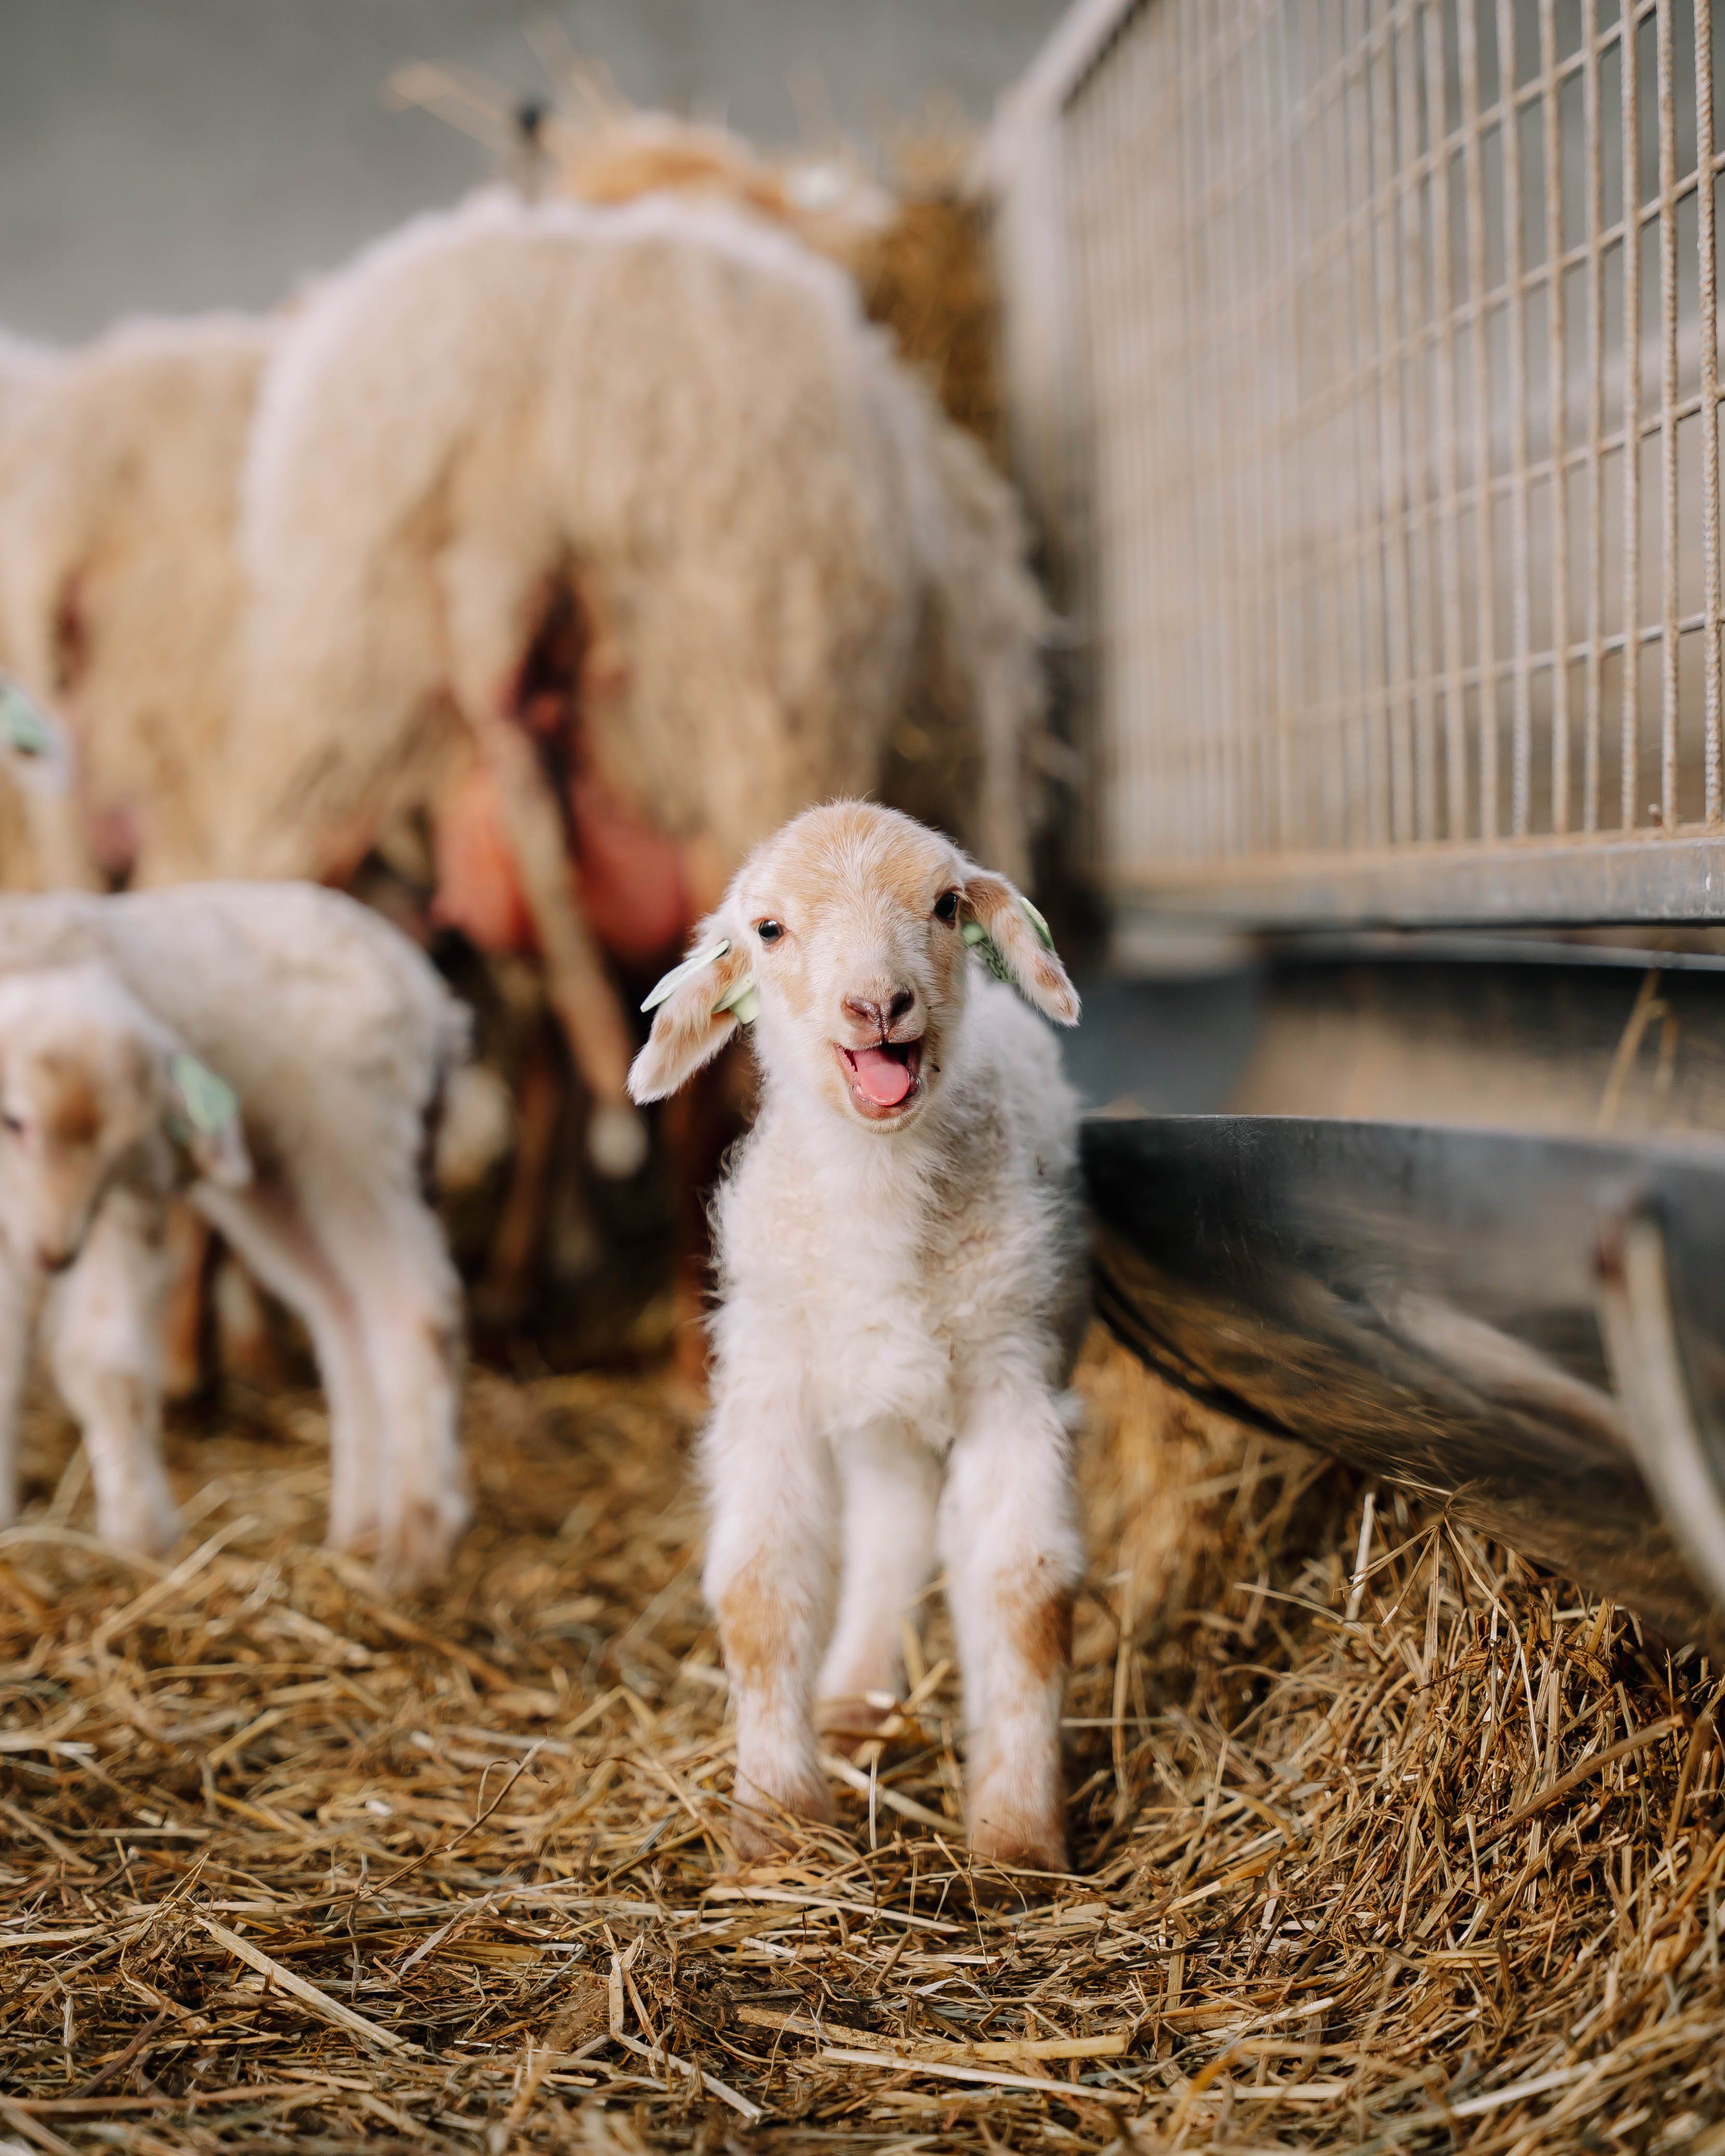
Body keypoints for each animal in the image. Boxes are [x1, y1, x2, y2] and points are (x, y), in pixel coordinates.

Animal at [0, 881, 472, 1585]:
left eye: (119, 1153)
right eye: (15, 1121)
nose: (56, 1253)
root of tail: (434, 999)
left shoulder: (136, 1190)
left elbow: (104, 1364)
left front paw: (141, 1538)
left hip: (359, 1136)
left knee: (412, 1309)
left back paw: (416, 1541)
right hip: (275, 1174)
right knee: (343, 1312)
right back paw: (358, 1526)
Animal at [628, 800, 1086, 1871]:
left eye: (947, 904)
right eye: (767, 929)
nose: (879, 1004)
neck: (879, 1188)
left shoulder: (1011, 1374)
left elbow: (1024, 1593)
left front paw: (1018, 1837)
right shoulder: (771, 1377)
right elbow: (759, 1588)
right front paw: (776, 1821)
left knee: (914, 1528)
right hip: (872, 1400)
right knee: (891, 1523)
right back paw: (850, 1700)